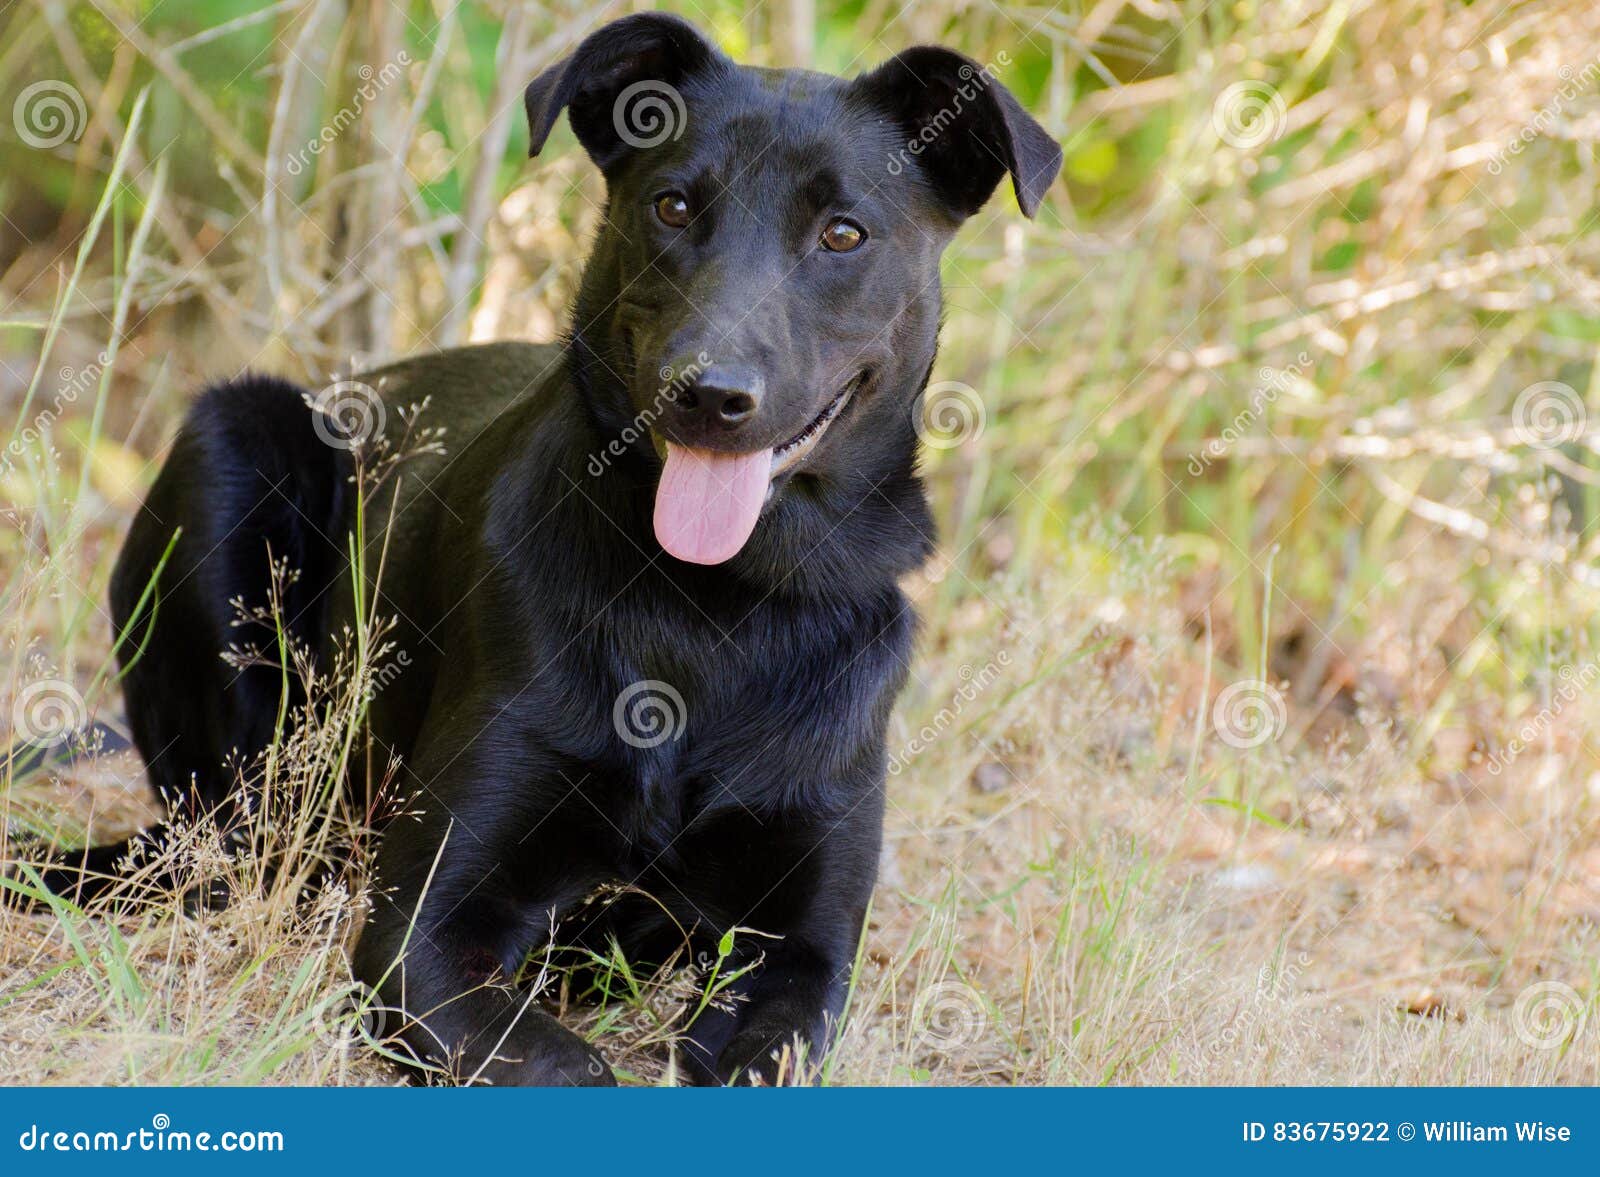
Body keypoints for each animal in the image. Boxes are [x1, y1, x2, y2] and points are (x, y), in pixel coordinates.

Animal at [40, 16, 1049, 1087]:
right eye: (673, 204)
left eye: (844, 234)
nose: (707, 393)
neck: (717, 607)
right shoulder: (425, 929)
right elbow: (568, 1067)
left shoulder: (802, 956)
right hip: (232, 446)